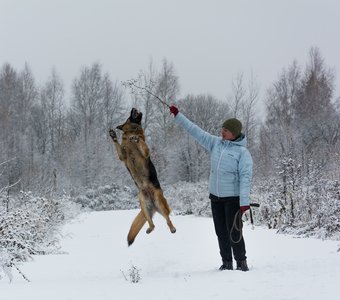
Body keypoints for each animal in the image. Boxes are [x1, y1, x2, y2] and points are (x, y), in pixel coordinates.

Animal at [109, 109, 177, 245]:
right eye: (129, 116)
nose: (133, 108)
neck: (132, 131)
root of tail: (153, 206)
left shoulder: (145, 152)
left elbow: (142, 142)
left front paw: (136, 138)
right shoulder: (122, 156)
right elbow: (119, 146)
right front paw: (114, 136)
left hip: (159, 201)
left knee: (168, 219)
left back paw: (172, 228)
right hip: (144, 206)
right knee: (153, 224)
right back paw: (149, 229)